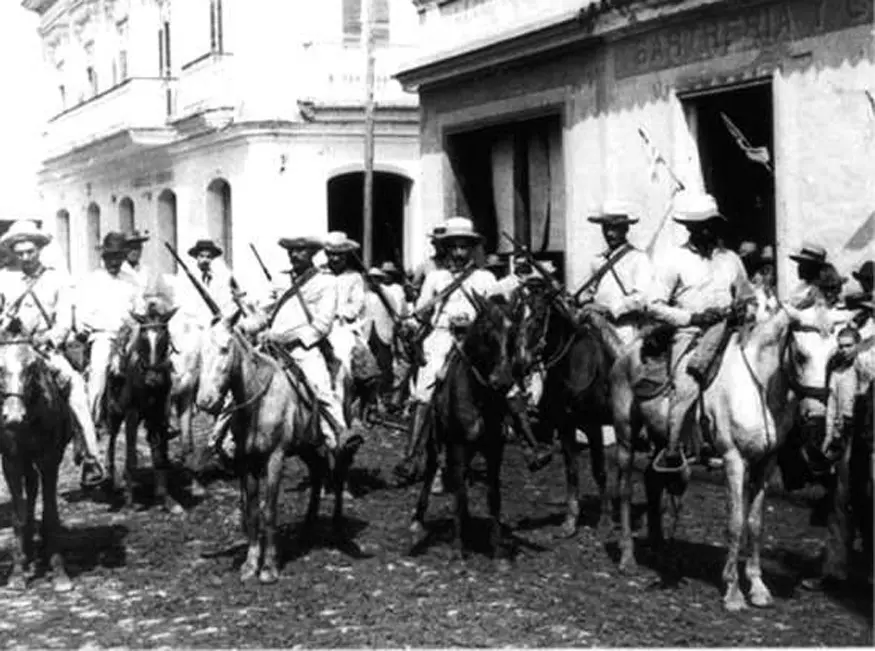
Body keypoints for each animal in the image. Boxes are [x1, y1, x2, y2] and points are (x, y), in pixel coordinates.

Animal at [0, 320, 73, 592]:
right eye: (0, 367)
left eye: (32, 367)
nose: (13, 417)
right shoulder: (11, 461)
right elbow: (18, 516)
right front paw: (17, 573)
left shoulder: (49, 460)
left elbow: (51, 515)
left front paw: (59, 572)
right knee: (30, 488)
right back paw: (29, 553)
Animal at [102, 306, 183, 516]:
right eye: (143, 340)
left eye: (165, 338)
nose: (153, 379)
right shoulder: (132, 414)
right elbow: (131, 458)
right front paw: (129, 503)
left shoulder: (159, 414)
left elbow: (160, 456)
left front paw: (166, 499)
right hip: (115, 414)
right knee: (112, 439)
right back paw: (111, 479)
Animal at [408, 296, 524, 560]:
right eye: (486, 333)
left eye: (513, 333)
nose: (502, 381)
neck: (479, 397)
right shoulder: (459, 445)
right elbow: (460, 491)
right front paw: (458, 546)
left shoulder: (494, 449)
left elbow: (493, 494)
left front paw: (497, 548)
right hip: (437, 440)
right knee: (433, 469)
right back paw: (419, 521)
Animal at [516, 288, 628, 536]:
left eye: (540, 316)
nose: (521, 362)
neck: (573, 369)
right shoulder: (566, 427)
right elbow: (572, 472)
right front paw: (570, 521)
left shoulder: (594, 427)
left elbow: (599, 470)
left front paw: (604, 522)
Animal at [612, 306, 840, 612]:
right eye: (801, 355)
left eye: (834, 357)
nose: (815, 415)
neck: (759, 389)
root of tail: (630, 348)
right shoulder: (734, 460)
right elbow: (735, 523)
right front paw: (733, 592)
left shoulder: (766, 464)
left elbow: (755, 524)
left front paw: (758, 587)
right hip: (625, 434)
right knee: (625, 490)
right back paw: (627, 558)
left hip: (663, 437)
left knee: (653, 479)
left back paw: (660, 550)